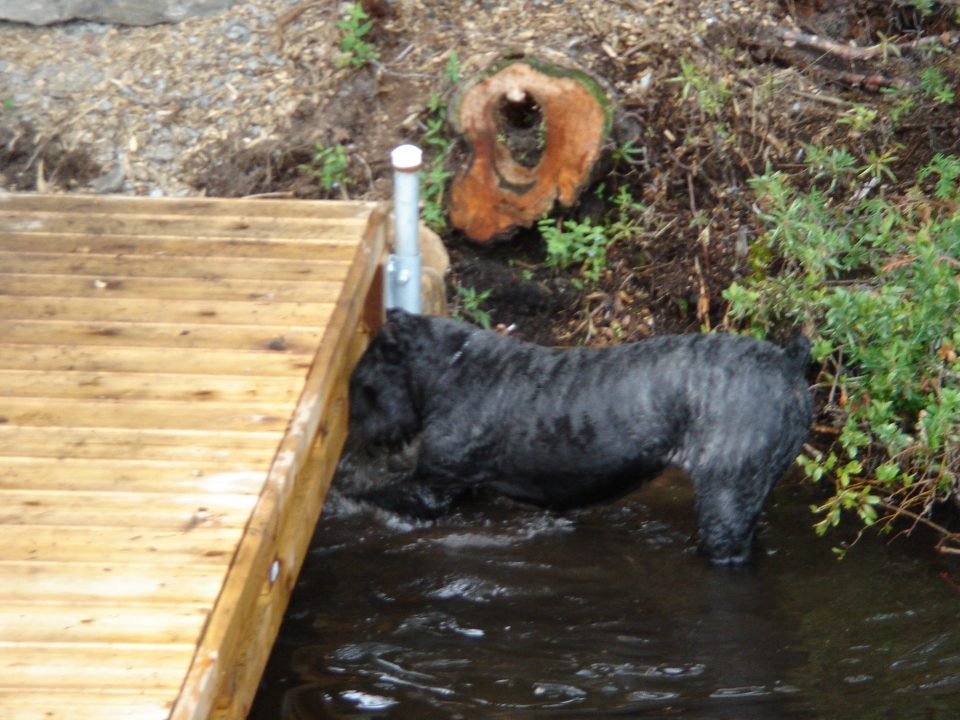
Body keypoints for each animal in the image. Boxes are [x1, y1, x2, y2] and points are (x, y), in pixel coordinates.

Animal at [344, 308, 808, 564]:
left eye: (361, 387)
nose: (352, 440)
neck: (450, 367)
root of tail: (789, 362)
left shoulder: (433, 485)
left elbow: (381, 493)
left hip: (725, 495)